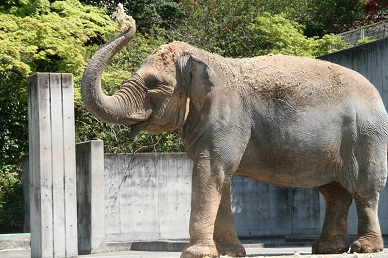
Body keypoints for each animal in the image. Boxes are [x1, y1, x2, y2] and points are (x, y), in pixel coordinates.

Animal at [82, 5, 388, 256]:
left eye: (154, 85)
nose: (124, 18)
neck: (205, 59)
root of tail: (377, 95)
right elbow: (221, 177)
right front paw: (230, 252)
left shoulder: (227, 117)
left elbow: (210, 171)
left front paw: (196, 254)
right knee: (335, 192)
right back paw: (328, 249)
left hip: (366, 136)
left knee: (365, 190)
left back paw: (364, 248)